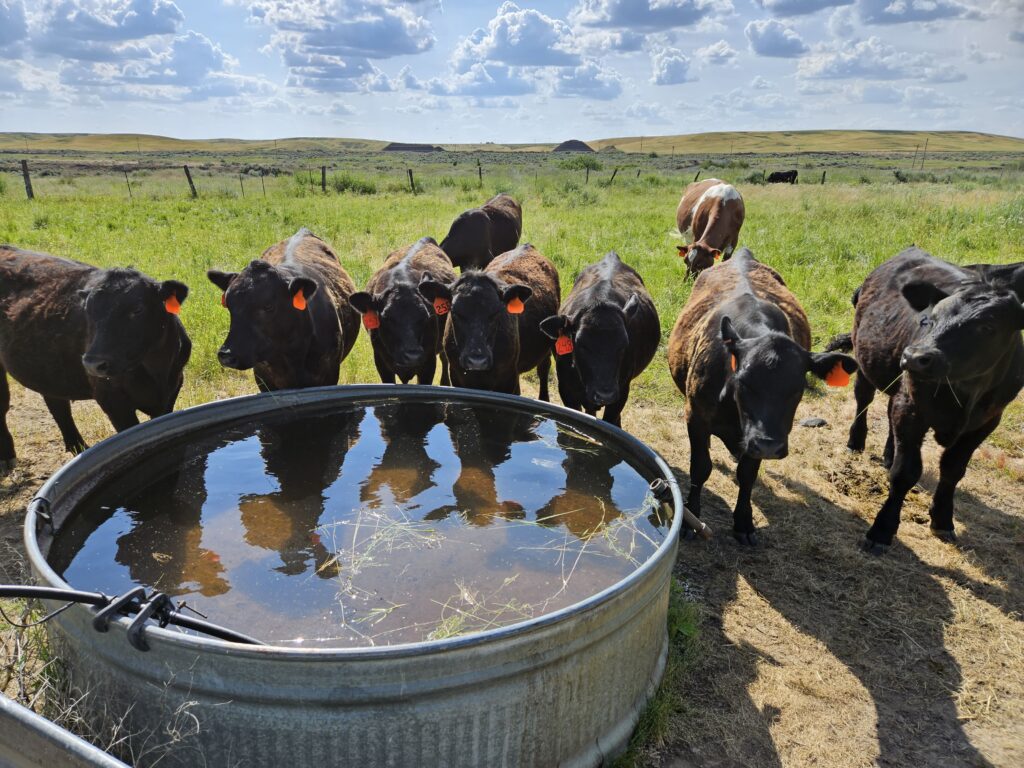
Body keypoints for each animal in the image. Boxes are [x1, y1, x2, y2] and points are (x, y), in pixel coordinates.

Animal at [0, 246, 191, 467]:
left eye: (137, 309)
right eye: (88, 311)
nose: (93, 363)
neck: (156, 368)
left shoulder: (172, 388)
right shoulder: (111, 398)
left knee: (57, 403)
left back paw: (79, 447)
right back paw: (7, 457)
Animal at [349, 237, 457, 385]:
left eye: (425, 316)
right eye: (386, 318)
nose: (412, 356)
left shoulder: (428, 363)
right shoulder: (381, 362)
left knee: (444, 358)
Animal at [418, 244, 559, 399]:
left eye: (496, 312)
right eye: (454, 312)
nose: (477, 361)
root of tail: (527, 246)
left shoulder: (508, 379)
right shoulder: (457, 376)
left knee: (544, 368)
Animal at [668, 248, 857, 544]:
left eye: (798, 388)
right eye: (743, 382)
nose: (769, 446)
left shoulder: (759, 438)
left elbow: (747, 475)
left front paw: (743, 522)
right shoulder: (696, 415)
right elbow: (700, 467)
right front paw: (692, 518)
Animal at [833, 247, 1024, 554]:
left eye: (987, 327)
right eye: (928, 319)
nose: (914, 357)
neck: (966, 391)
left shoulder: (987, 421)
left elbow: (953, 469)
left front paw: (943, 519)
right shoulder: (913, 407)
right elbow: (906, 472)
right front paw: (881, 530)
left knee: (890, 412)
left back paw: (889, 453)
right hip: (867, 358)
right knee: (864, 398)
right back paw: (856, 442)